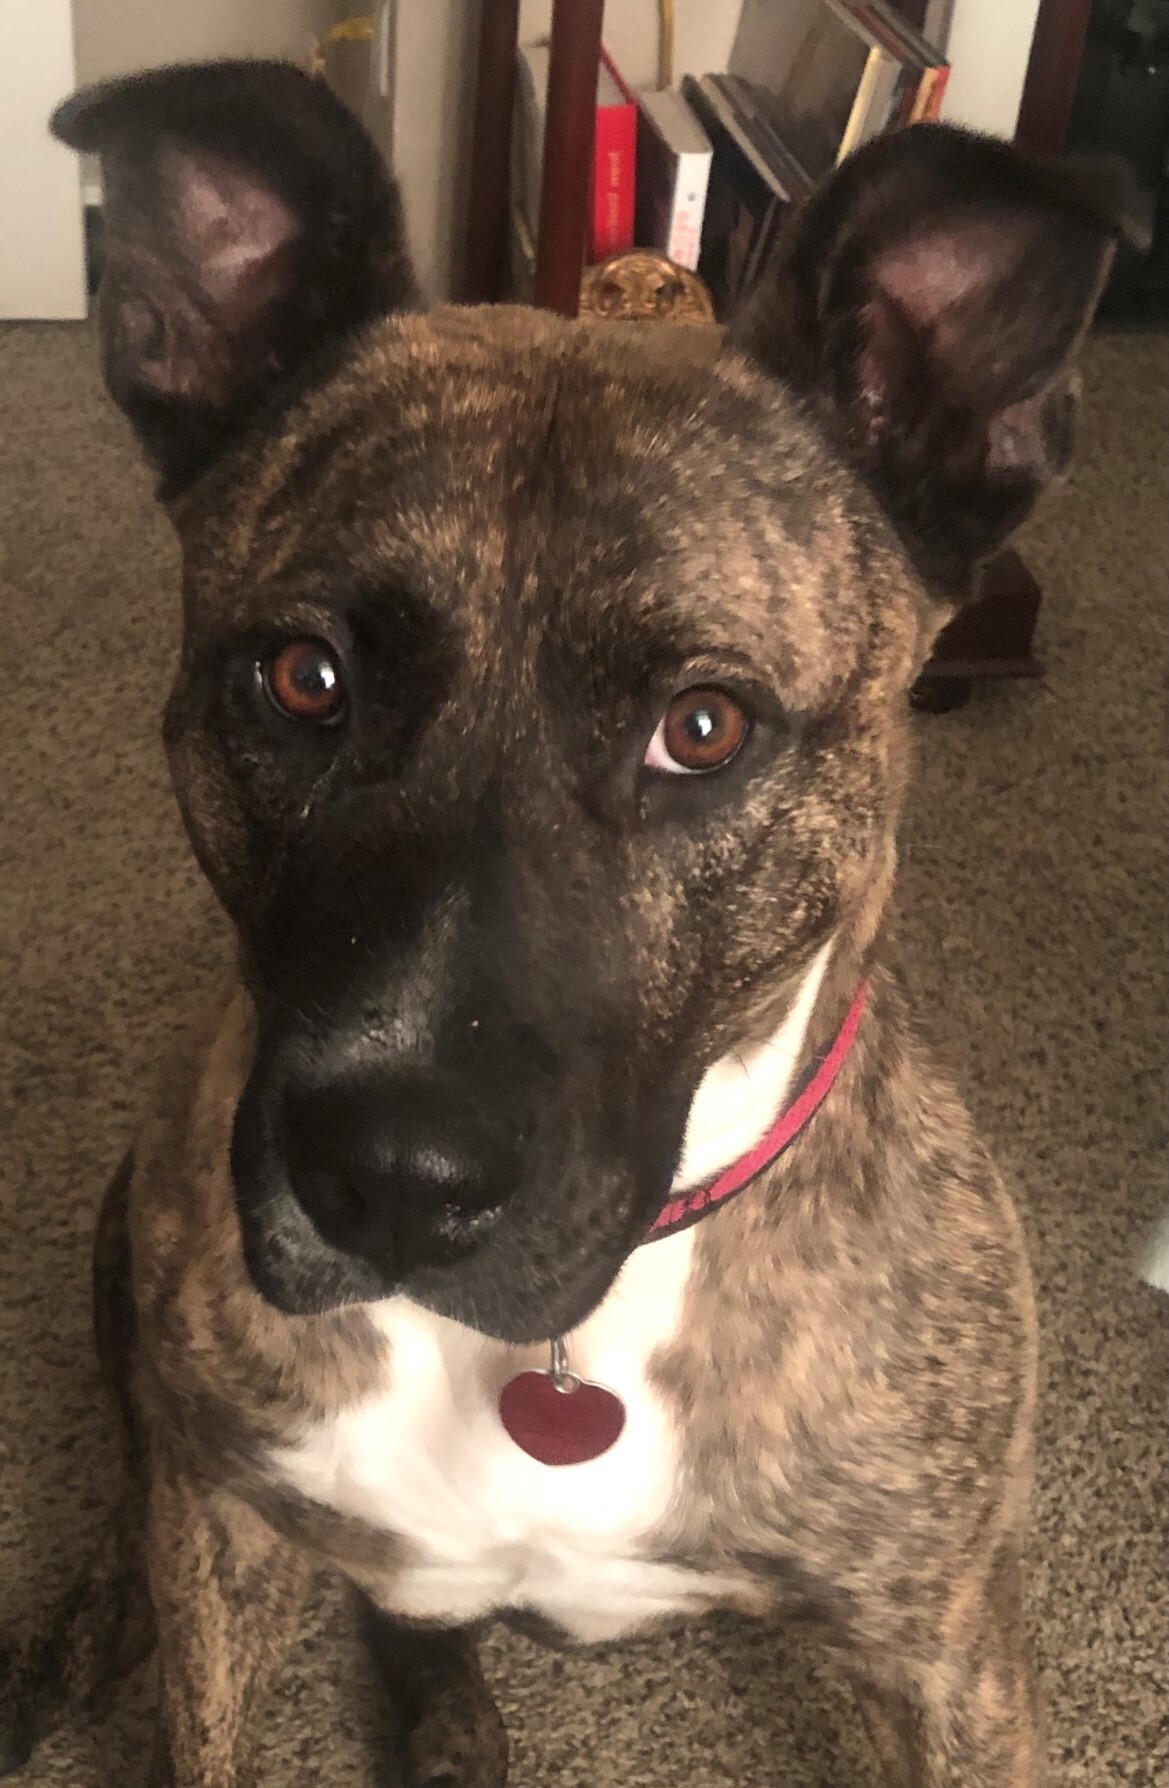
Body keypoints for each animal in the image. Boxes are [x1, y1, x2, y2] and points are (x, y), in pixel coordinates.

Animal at [2, 55, 1129, 1788]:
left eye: (705, 729)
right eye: (303, 679)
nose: (391, 1179)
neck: (556, 1361)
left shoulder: (949, 1653)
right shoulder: (224, 1531)